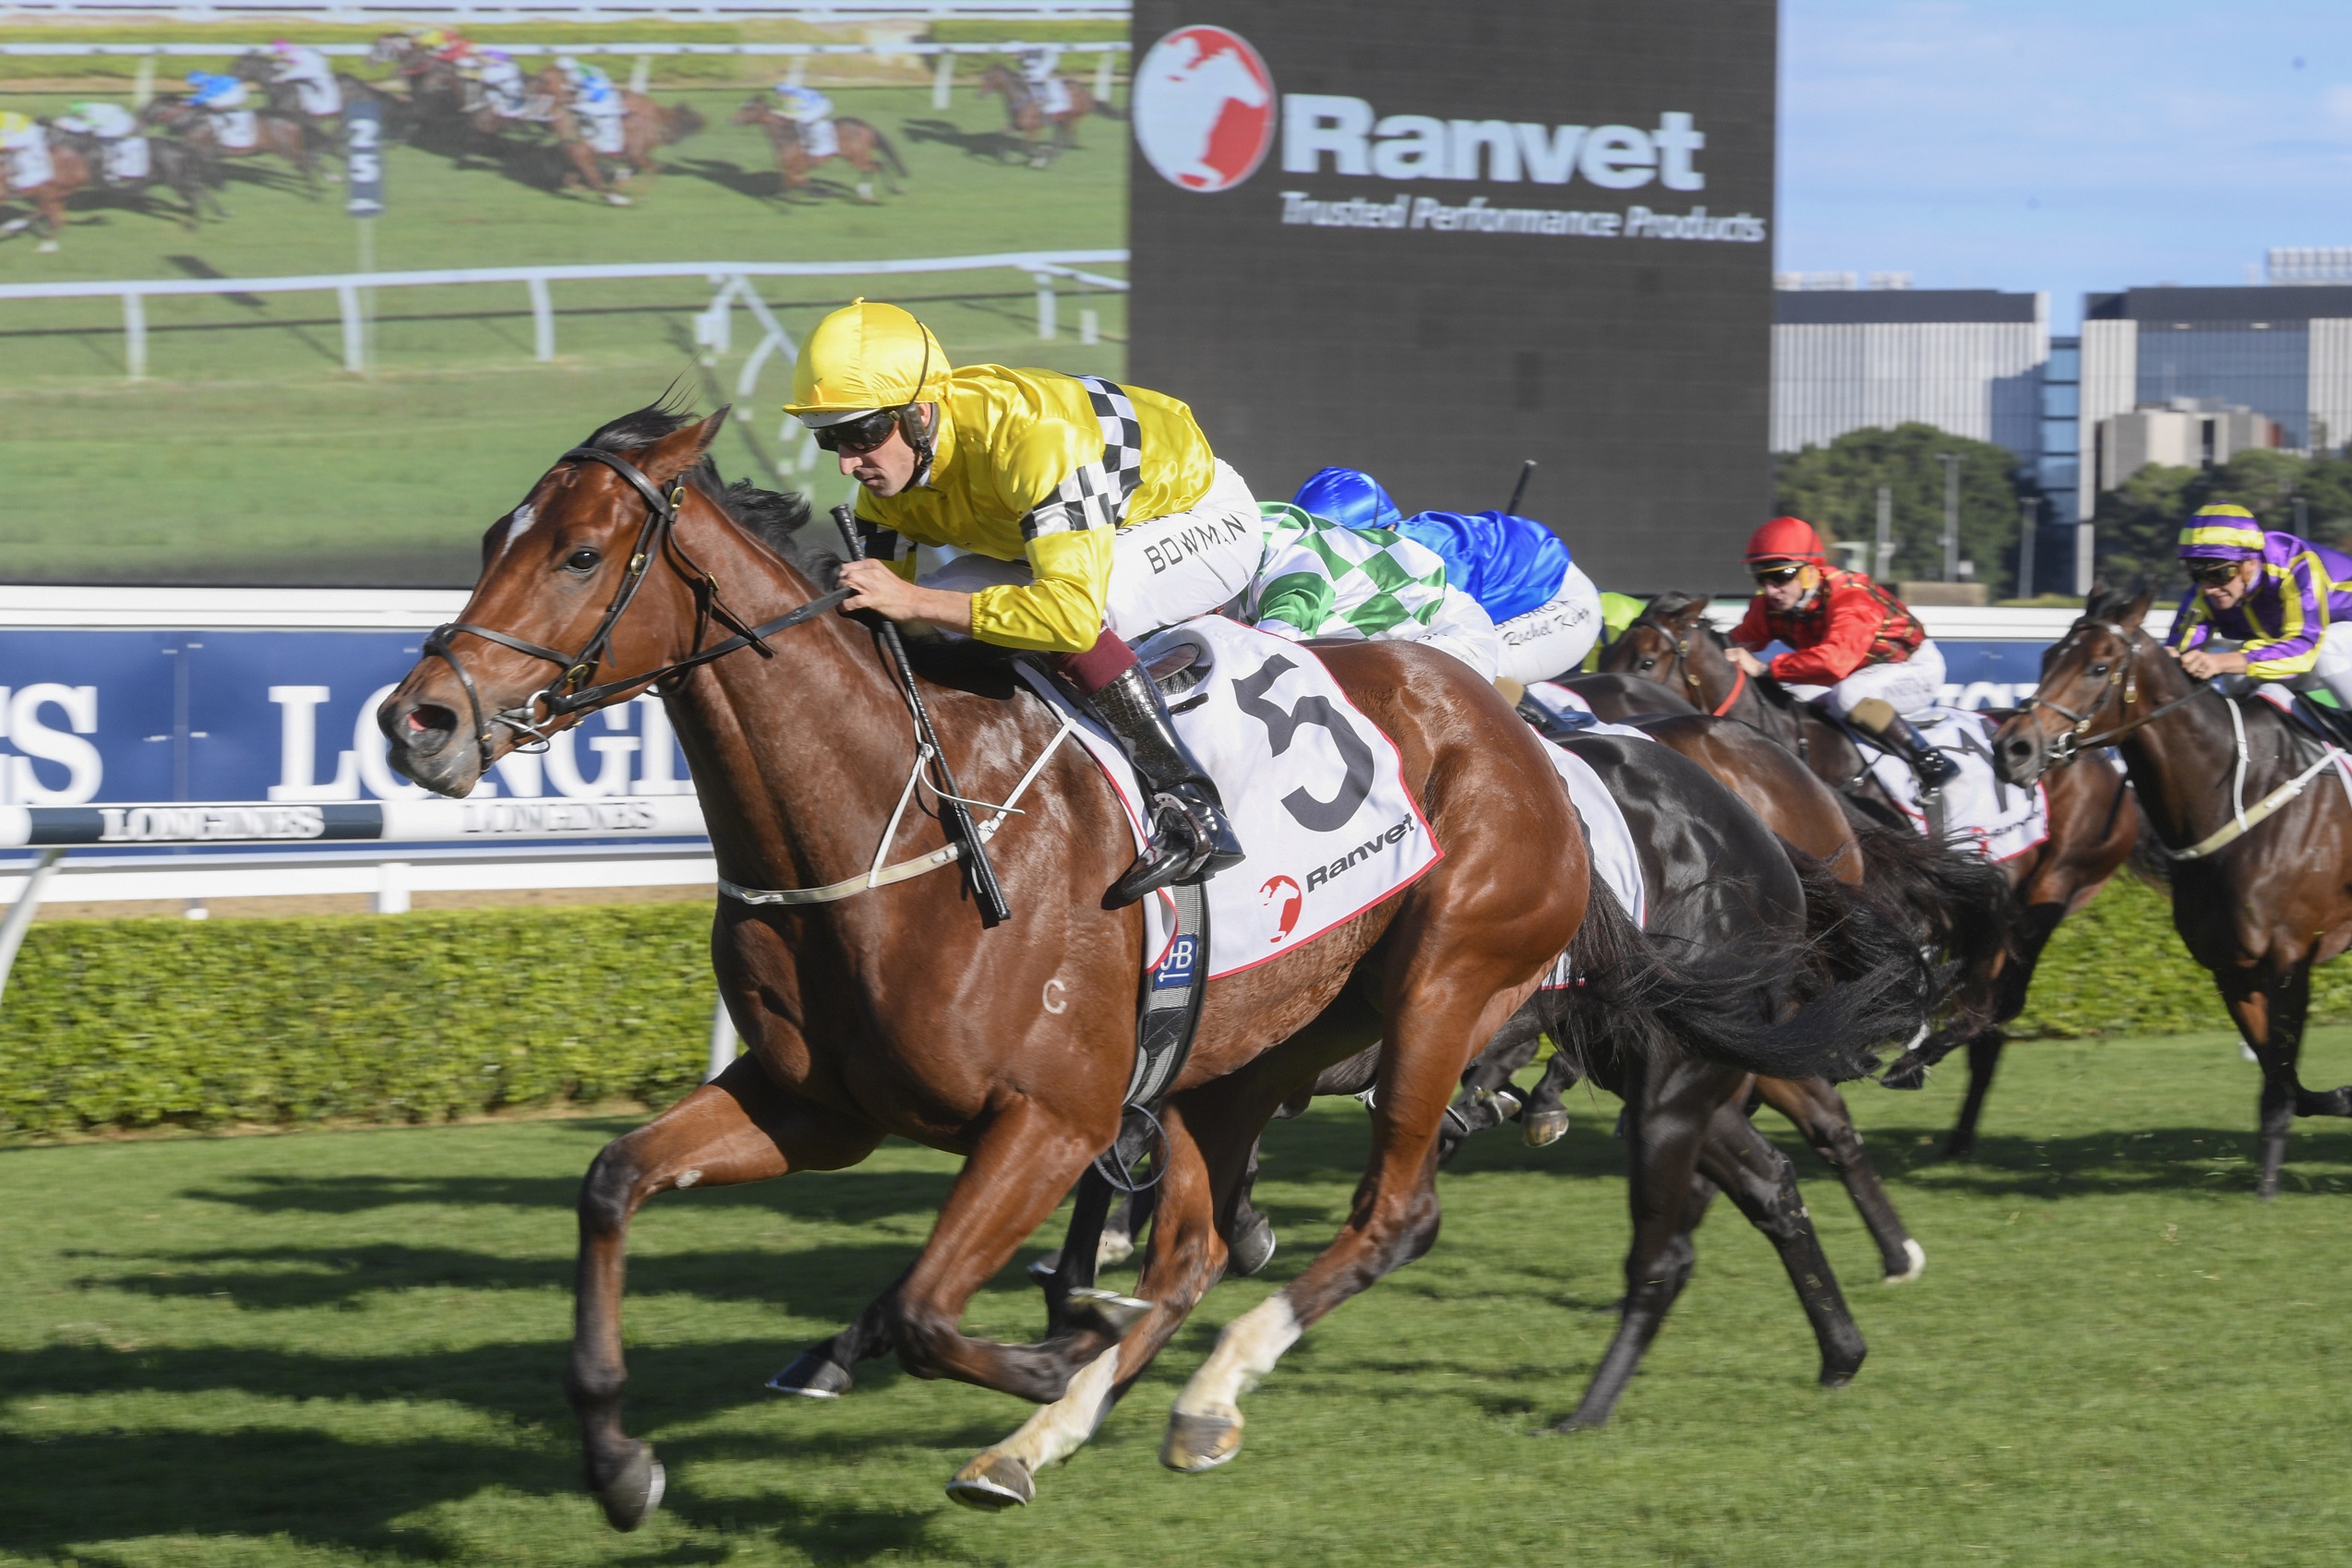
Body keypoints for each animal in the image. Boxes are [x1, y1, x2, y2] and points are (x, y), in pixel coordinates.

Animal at [731, 97, 905, 203]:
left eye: (748, 108)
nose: (733, 120)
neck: (786, 136)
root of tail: (865, 125)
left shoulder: (795, 168)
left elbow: (798, 183)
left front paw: (818, 195)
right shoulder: (794, 170)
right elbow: (794, 183)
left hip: (856, 157)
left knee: (876, 165)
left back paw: (885, 191)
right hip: (855, 157)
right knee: (873, 166)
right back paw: (865, 193)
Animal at [976, 62, 1113, 167]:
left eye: (990, 77)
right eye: (983, 76)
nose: (979, 95)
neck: (1023, 99)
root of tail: (1084, 91)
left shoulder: (1034, 129)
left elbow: (1025, 147)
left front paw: (1038, 158)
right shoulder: (1017, 125)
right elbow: (1001, 133)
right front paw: (1006, 157)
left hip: (1070, 119)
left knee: (1067, 140)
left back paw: (1049, 157)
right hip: (1062, 120)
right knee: (1061, 138)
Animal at [1992, 584, 2352, 1197]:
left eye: (2099, 667)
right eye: (2046, 657)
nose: (2011, 747)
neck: (2240, 792)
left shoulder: (2289, 956)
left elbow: (2282, 1076)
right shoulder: (2232, 966)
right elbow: (2283, 1077)